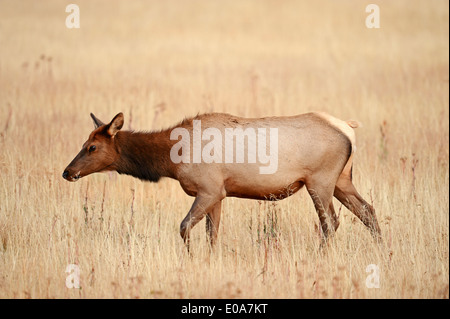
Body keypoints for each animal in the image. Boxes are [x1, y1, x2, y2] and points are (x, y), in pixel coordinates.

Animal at [62, 112, 380, 252]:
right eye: (84, 143)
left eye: (92, 147)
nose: (67, 172)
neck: (172, 159)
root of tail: (348, 127)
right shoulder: (219, 194)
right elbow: (212, 235)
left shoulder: (209, 189)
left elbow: (184, 227)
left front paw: (190, 258)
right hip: (342, 180)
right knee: (368, 210)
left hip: (320, 180)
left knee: (331, 222)